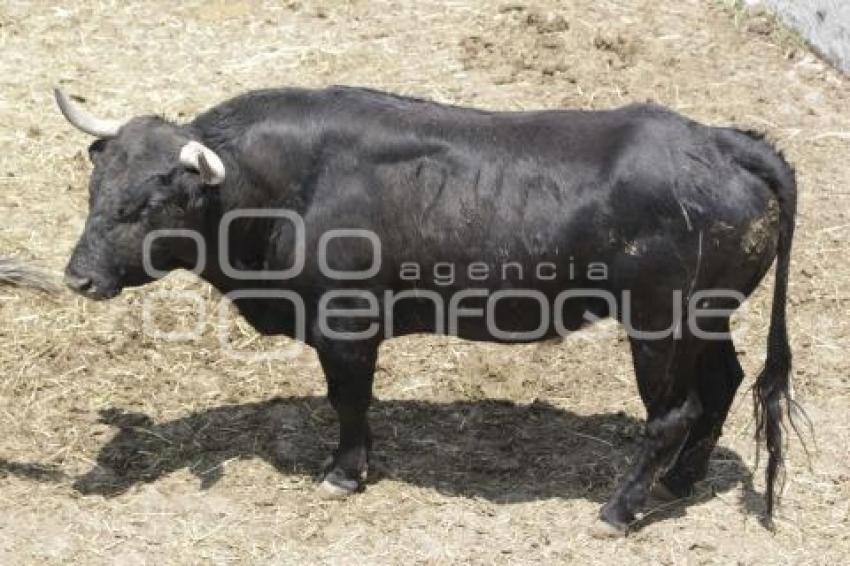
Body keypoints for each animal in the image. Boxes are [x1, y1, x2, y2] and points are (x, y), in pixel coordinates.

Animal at [56, 86, 800, 536]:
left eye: (149, 204)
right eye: (96, 187)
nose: (79, 277)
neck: (284, 187)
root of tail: (726, 141)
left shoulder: (347, 325)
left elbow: (349, 400)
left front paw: (344, 473)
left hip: (659, 323)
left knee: (672, 412)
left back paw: (619, 509)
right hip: (705, 317)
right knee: (722, 385)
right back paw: (680, 480)